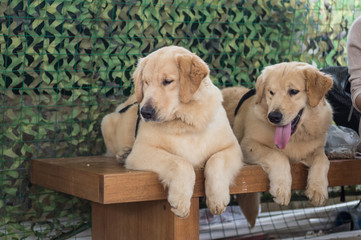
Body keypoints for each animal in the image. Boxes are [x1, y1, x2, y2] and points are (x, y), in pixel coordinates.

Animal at [100, 46, 242, 218]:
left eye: (167, 81)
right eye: (146, 82)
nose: (145, 112)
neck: (185, 121)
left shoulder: (232, 147)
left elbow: (217, 161)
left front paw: (217, 199)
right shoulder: (142, 151)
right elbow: (181, 163)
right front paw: (180, 201)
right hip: (106, 121)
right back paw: (123, 154)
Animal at [221, 62, 334, 227]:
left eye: (293, 91)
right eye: (271, 92)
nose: (273, 116)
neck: (294, 137)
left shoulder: (316, 149)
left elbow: (323, 160)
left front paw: (318, 189)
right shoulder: (247, 145)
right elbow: (278, 155)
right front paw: (281, 188)